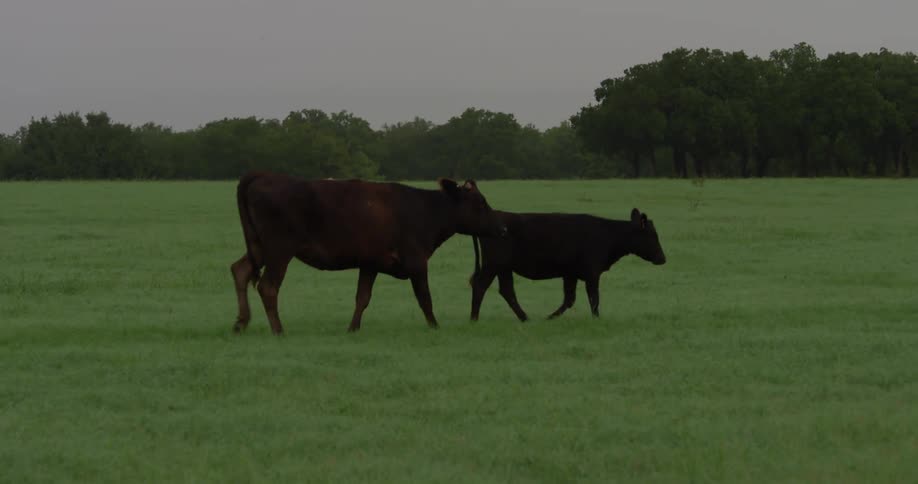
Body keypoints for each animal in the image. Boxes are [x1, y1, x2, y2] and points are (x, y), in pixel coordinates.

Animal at [231, 172, 507, 335]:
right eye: (480, 203)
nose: (502, 227)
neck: (425, 210)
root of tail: (263, 177)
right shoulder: (417, 262)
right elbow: (425, 298)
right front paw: (435, 326)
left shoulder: (370, 263)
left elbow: (362, 297)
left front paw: (353, 328)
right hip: (279, 250)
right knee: (268, 287)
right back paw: (278, 330)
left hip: (260, 247)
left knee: (240, 270)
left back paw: (241, 322)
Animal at [469, 208, 666, 322]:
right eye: (652, 235)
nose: (663, 258)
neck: (608, 235)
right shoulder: (592, 272)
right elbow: (594, 298)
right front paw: (596, 319)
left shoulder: (570, 273)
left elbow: (569, 299)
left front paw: (550, 317)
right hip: (493, 265)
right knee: (480, 285)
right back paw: (474, 318)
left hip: (504, 268)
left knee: (507, 291)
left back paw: (525, 318)